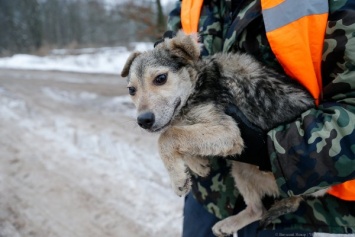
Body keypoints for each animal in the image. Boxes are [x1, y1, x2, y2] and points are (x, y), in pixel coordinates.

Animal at [121, 31, 324, 235]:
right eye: (131, 90)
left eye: (161, 78)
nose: (144, 120)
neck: (199, 82)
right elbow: (177, 133)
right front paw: (197, 164)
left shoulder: (229, 131)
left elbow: (167, 136)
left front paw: (178, 179)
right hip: (242, 169)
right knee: (257, 210)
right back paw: (227, 225)